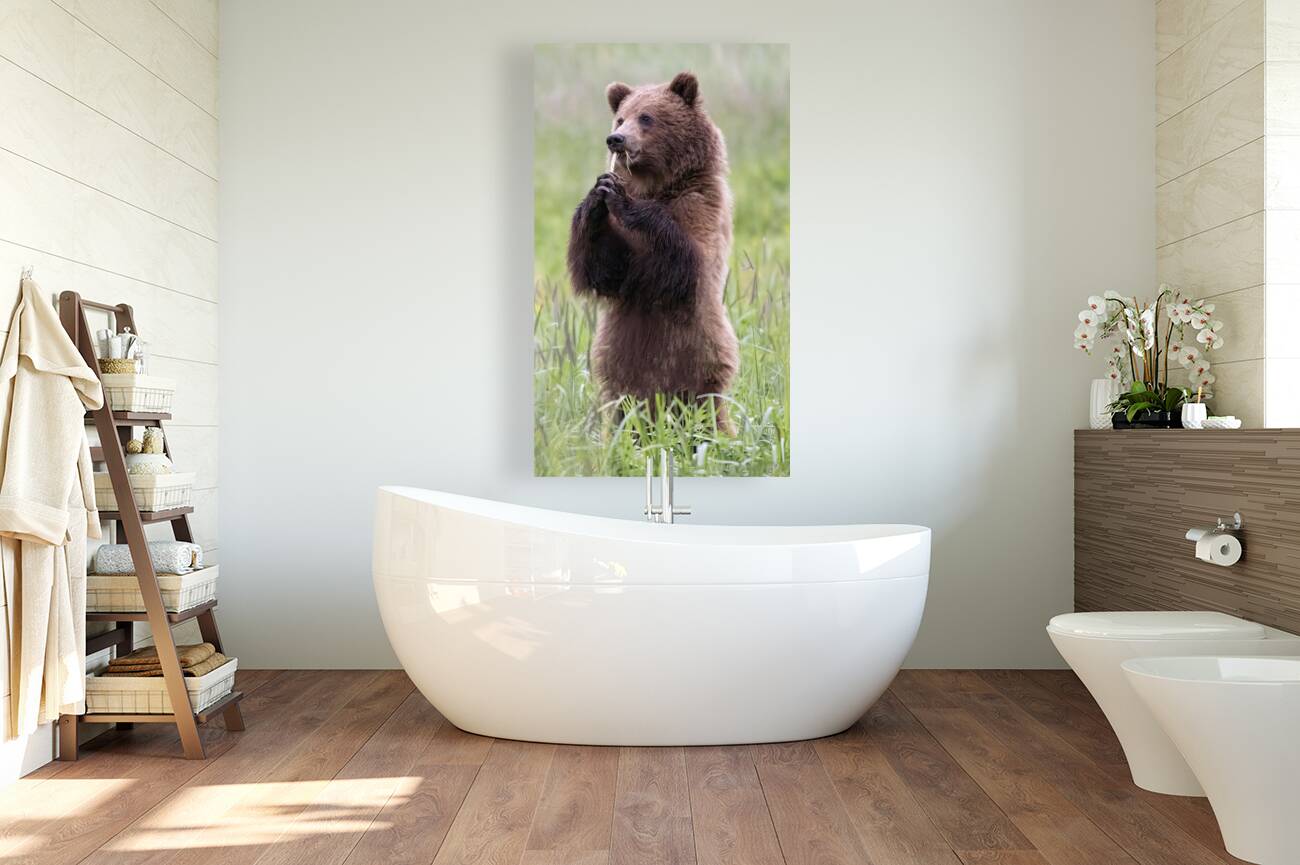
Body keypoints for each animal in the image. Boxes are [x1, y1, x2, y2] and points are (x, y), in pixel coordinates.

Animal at [566, 71, 740, 435]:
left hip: (701, 361)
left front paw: (621, 196)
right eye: (620, 117)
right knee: (625, 413)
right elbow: (605, 269)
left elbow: (686, 263)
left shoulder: (702, 206)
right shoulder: (621, 244)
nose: (615, 139)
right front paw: (595, 197)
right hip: (620, 370)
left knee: (706, 412)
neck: (657, 186)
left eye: (646, 117)